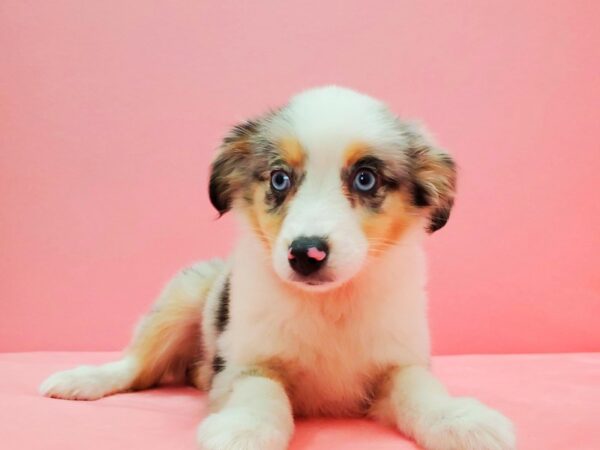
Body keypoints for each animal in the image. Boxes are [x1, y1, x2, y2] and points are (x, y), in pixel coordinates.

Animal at [38, 86, 516, 448]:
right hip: (185, 293)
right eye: (279, 178)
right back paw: (82, 379)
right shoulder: (245, 359)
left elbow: (421, 389)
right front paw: (242, 430)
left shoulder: (400, 358)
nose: (306, 253)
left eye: (366, 178)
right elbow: (261, 391)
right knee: (136, 362)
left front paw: (460, 419)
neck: (329, 305)